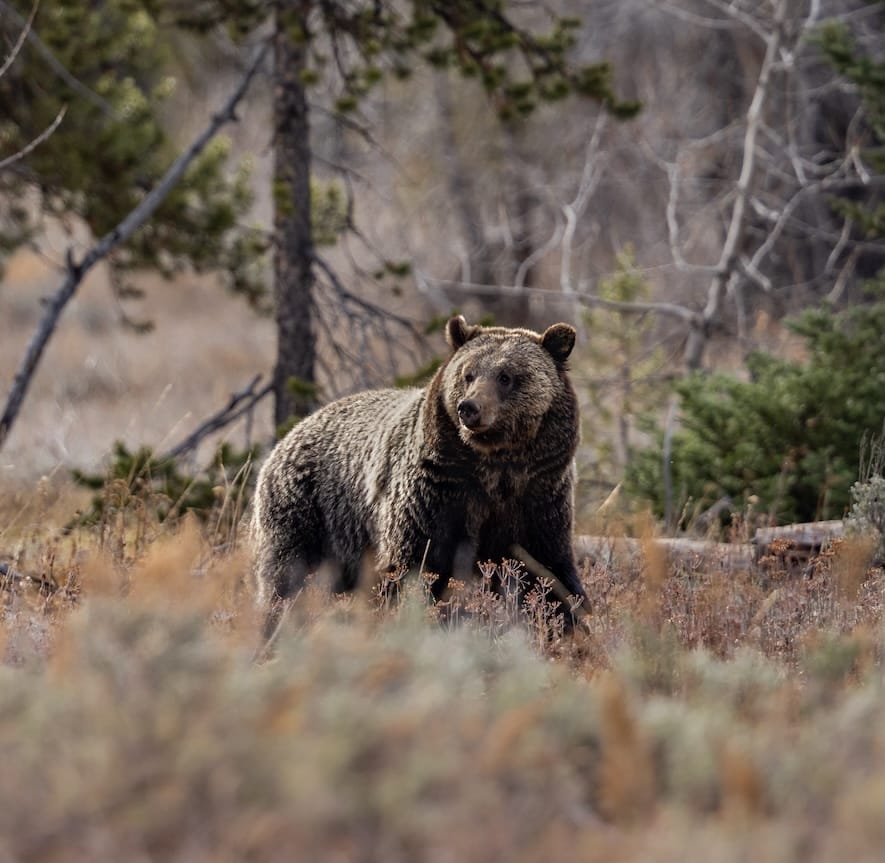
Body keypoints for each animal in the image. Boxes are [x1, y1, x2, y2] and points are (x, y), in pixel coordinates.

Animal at [251, 315, 588, 640]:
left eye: (506, 376)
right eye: (468, 374)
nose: (469, 408)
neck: (494, 468)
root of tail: (290, 434)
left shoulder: (538, 496)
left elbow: (548, 571)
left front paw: (570, 624)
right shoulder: (436, 494)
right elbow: (415, 565)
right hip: (308, 512)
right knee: (287, 576)